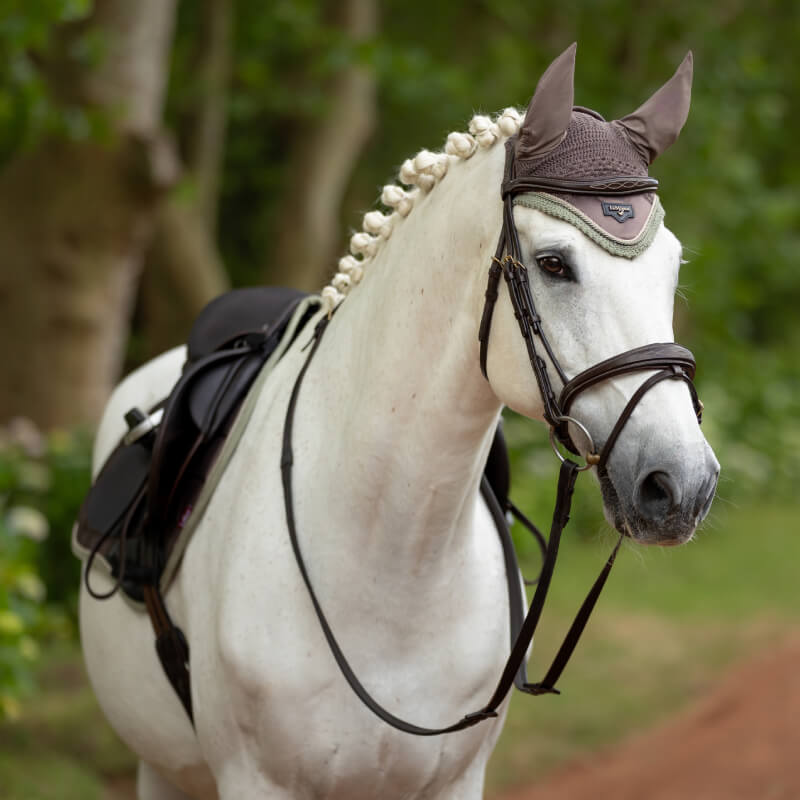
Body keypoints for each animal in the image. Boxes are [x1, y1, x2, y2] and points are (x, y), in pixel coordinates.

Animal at [78, 44, 720, 799]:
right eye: (554, 264)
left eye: (672, 266)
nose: (682, 485)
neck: (394, 566)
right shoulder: (256, 779)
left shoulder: (456, 780)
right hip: (164, 768)